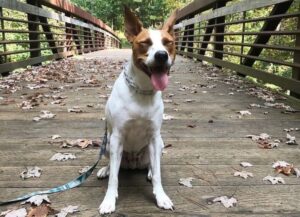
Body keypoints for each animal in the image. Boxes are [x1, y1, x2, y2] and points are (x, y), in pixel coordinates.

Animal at [98, 6, 178, 214]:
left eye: (168, 43)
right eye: (145, 43)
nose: (161, 55)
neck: (142, 90)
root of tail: (133, 162)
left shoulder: (154, 136)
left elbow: (158, 174)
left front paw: (161, 197)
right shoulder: (117, 136)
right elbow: (114, 179)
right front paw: (108, 200)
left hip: (159, 144)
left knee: (152, 165)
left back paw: (148, 171)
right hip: (108, 144)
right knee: (113, 166)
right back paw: (105, 169)